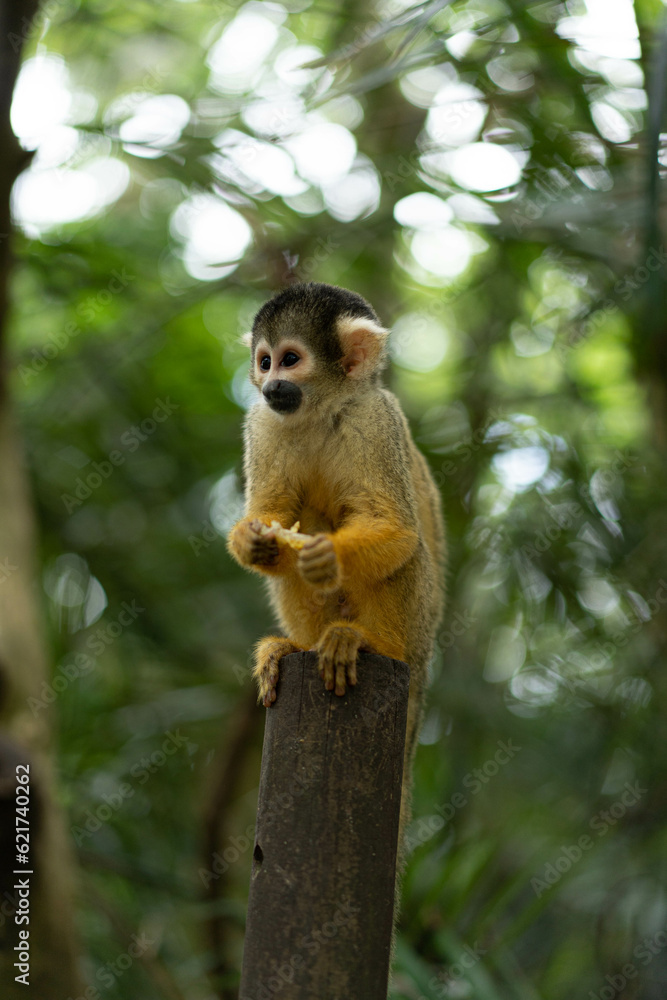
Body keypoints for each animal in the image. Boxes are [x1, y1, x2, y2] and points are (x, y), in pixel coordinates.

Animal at [227, 281, 446, 847]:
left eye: (291, 359)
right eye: (264, 361)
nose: (270, 384)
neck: (320, 412)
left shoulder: (375, 420)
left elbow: (395, 527)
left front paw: (328, 555)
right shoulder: (261, 424)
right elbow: (272, 510)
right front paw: (253, 540)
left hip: (418, 629)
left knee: (408, 552)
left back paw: (366, 641)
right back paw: (295, 645)